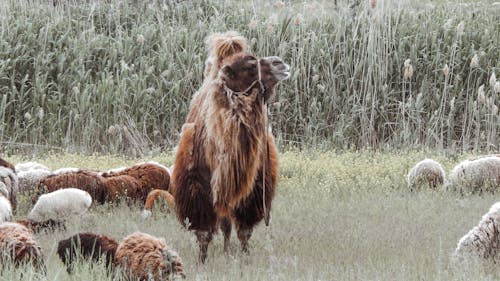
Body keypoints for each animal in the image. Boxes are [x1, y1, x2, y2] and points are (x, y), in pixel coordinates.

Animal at [171, 30, 286, 260]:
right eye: (249, 65)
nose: (280, 63)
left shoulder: (252, 187)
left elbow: (244, 231)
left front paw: (246, 258)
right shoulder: (197, 187)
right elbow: (204, 232)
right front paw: (202, 260)